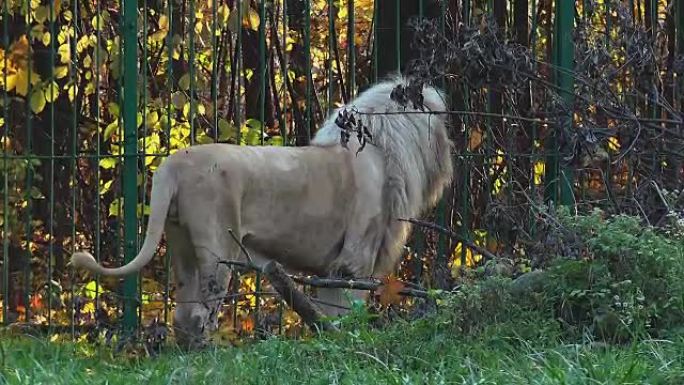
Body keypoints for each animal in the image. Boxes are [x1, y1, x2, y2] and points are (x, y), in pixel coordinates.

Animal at [71, 76, 454, 348]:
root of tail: (173, 163)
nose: (451, 146)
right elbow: (351, 311)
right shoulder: (354, 262)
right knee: (199, 314)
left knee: (182, 315)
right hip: (217, 252)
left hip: (181, 248)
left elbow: (333, 314)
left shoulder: (333, 269)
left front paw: (332, 337)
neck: (380, 146)